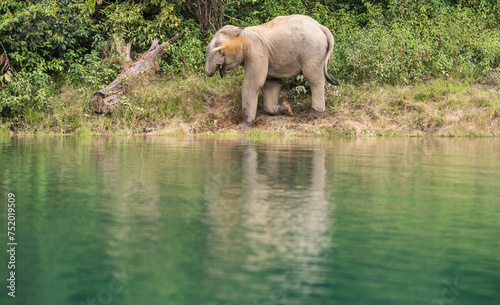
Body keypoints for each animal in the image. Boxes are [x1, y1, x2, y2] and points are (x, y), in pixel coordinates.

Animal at [204, 13, 340, 128]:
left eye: (218, 45)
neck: (243, 33)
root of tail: (322, 28)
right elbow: (271, 84)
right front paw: (287, 109)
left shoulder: (257, 52)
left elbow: (253, 84)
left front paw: (243, 126)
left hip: (313, 52)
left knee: (314, 79)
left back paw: (314, 115)